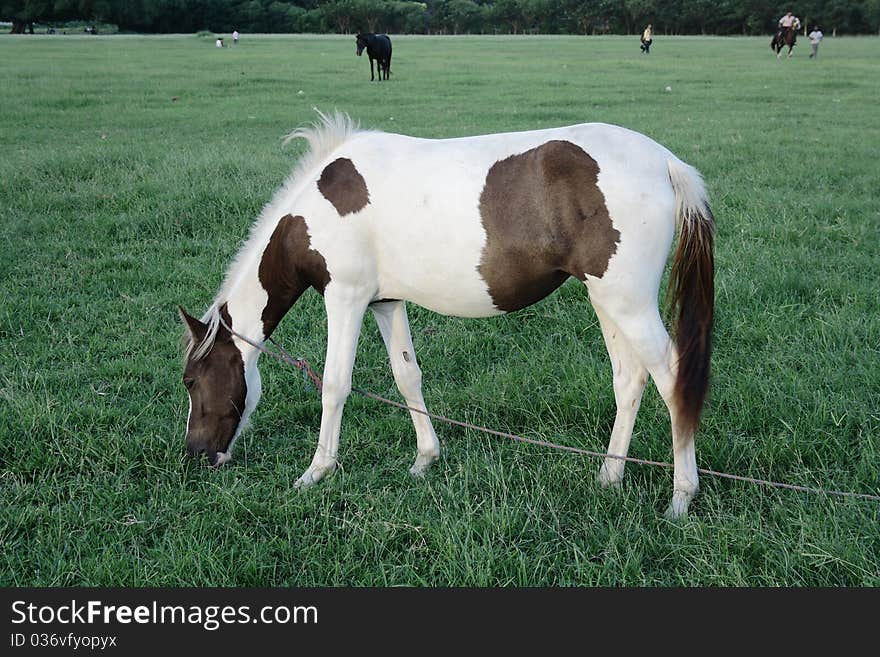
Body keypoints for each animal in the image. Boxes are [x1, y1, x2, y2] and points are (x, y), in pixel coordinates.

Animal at [179, 110, 716, 516]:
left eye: (190, 381)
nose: (195, 455)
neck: (316, 210)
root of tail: (665, 163)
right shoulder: (385, 302)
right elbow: (406, 376)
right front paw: (425, 459)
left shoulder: (345, 298)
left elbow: (335, 385)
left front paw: (316, 471)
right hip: (607, 301)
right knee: (629, 380)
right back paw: (609, 475)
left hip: (629, 303)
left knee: (672, 380)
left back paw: (680, 498)